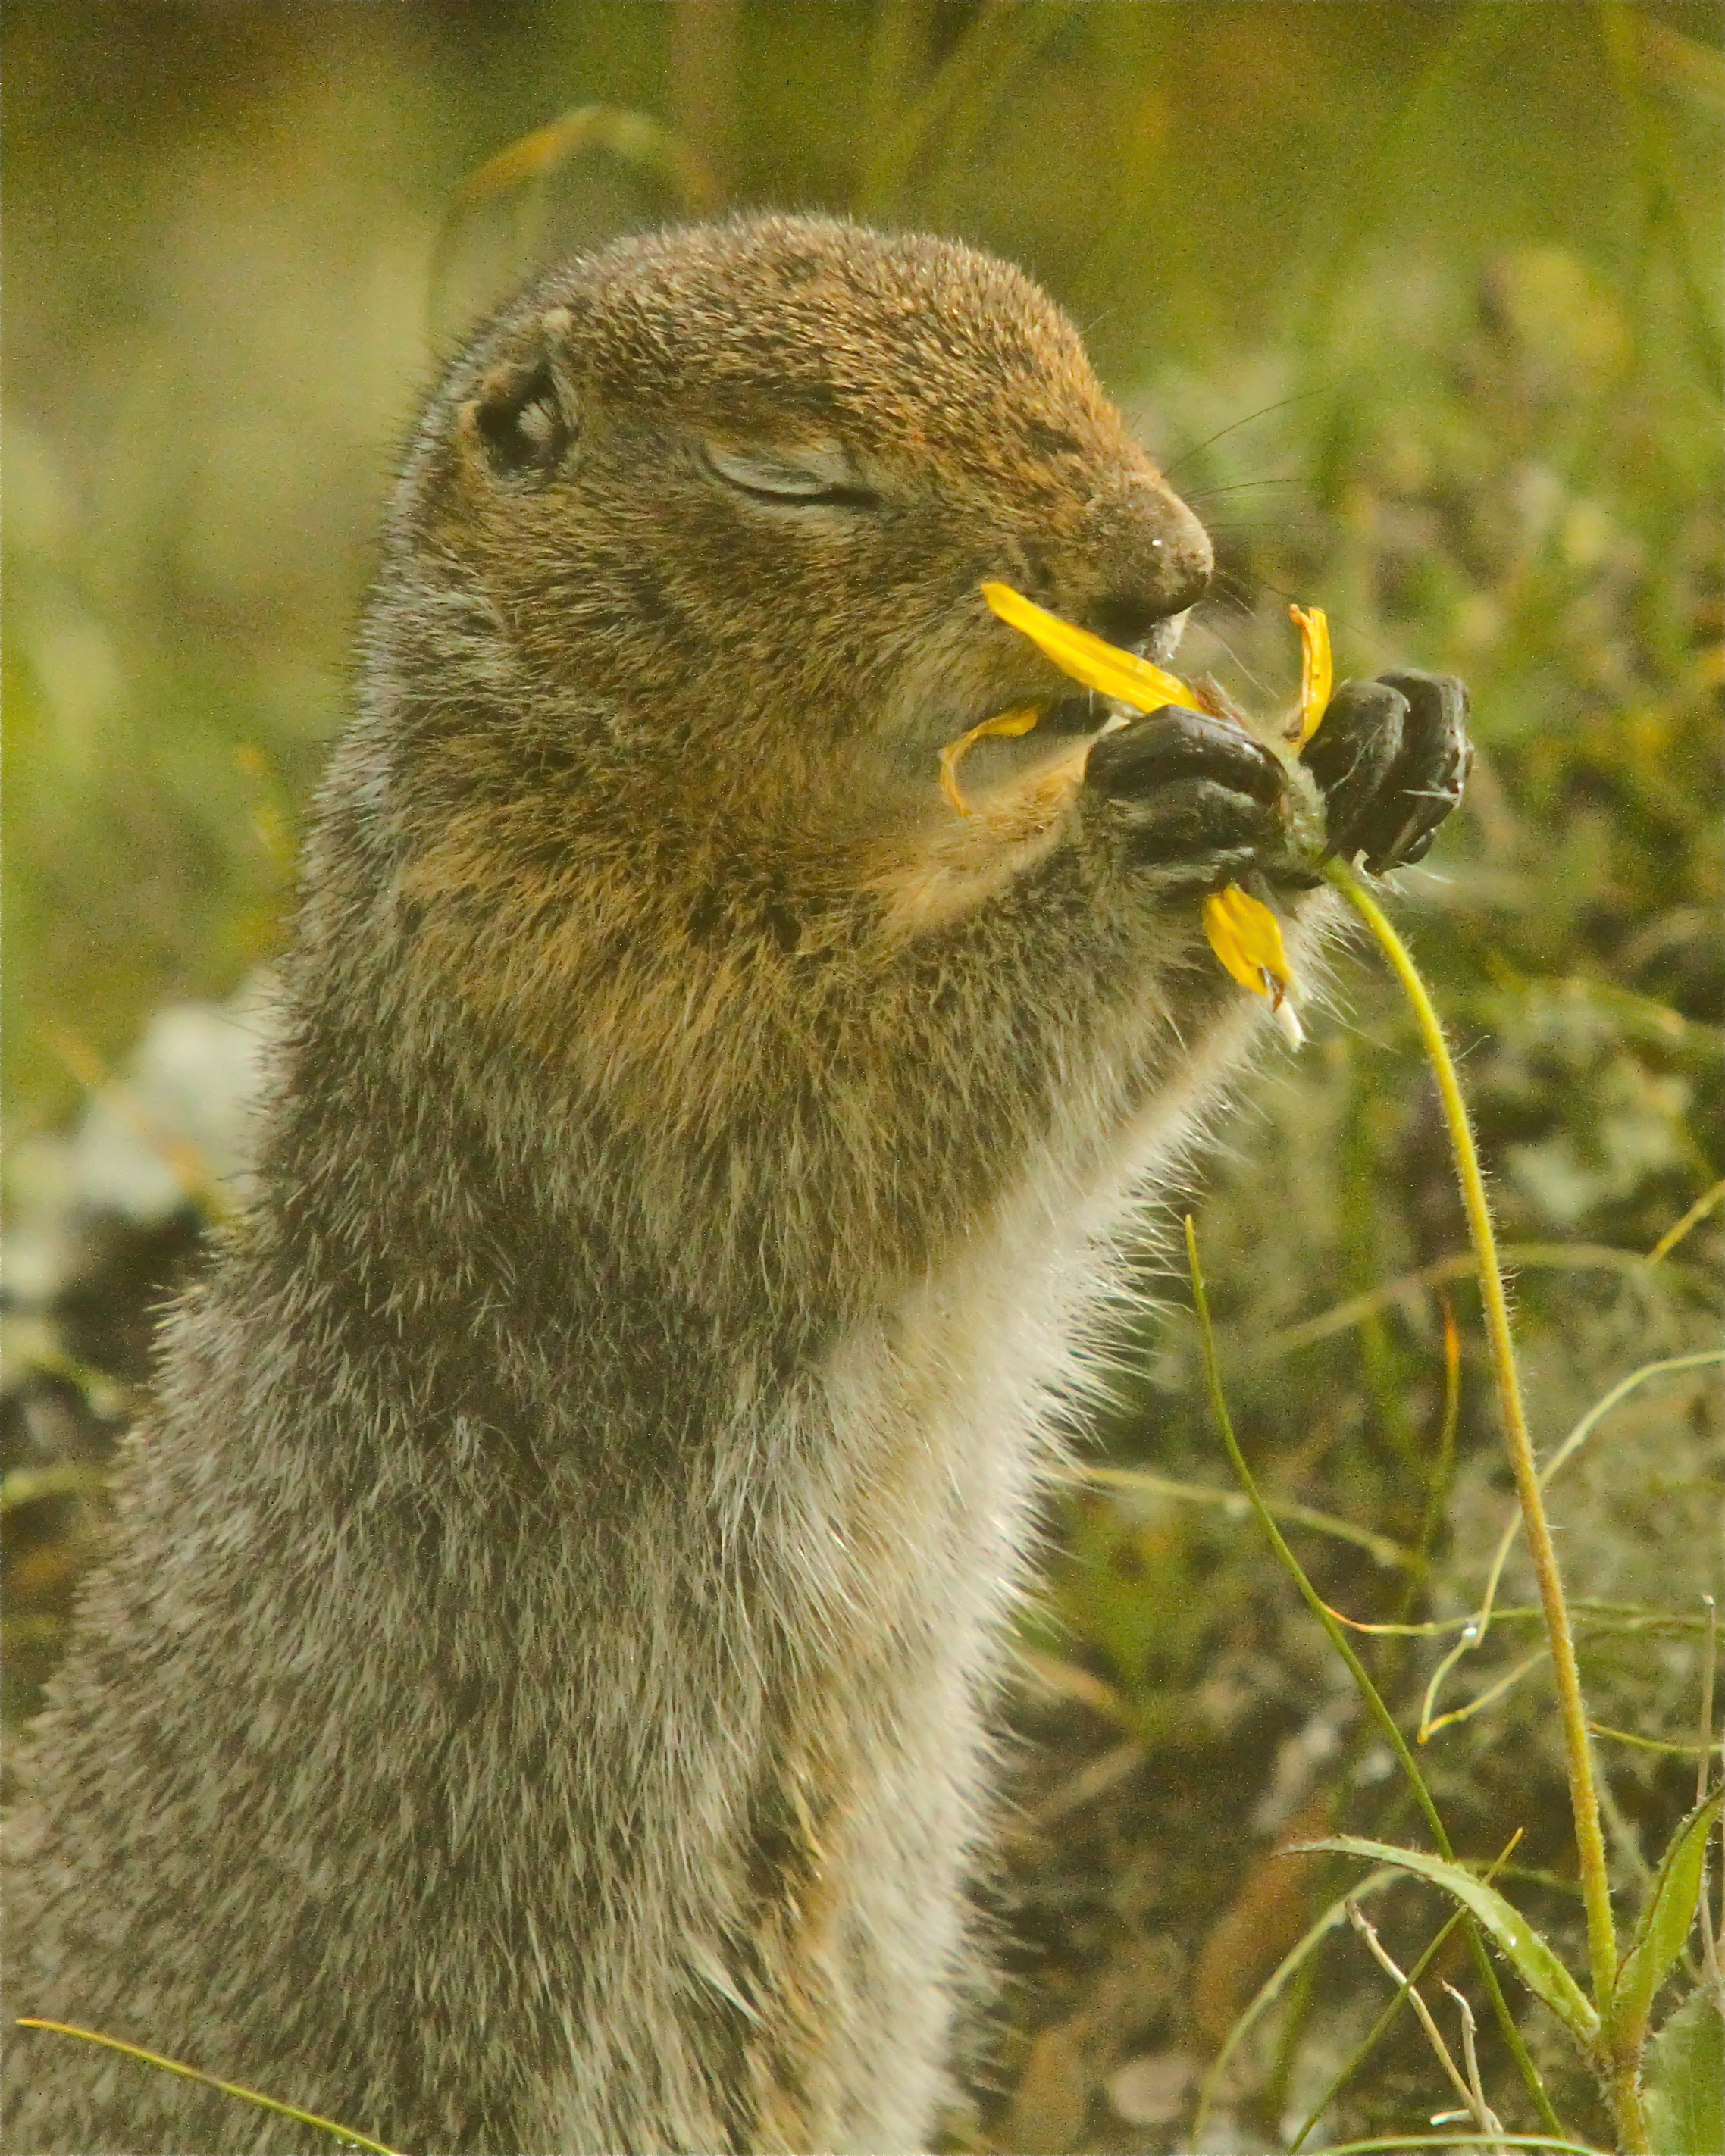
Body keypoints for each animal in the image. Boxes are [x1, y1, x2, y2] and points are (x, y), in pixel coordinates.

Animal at [3, 215, 1469, 2155]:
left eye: (1067, 343)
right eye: (789, 474)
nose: (1166, 571)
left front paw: (1372, 730)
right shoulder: (552, 950)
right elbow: (835, 1110)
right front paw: (1138, 822)